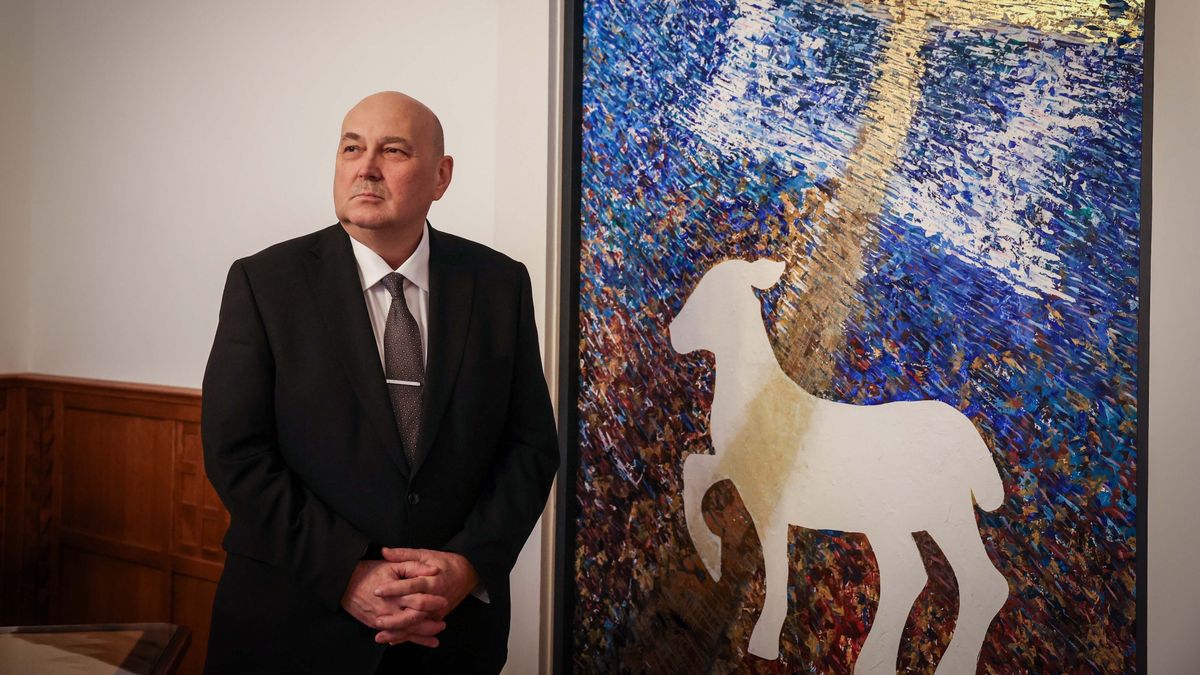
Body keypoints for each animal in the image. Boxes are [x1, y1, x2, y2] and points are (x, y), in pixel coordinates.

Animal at [669, 257, 1008, 674]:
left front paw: (764, 640)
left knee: (920, 576)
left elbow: (776, 567)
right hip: (939, 516)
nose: (673, 333)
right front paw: (712, 557)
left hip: (905, 516)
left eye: (711, 293)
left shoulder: (767, 501)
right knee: (971, 581)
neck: (754, 391)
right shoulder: (735, 468)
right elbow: (693, 470)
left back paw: (884, 662)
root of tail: (972, 444)